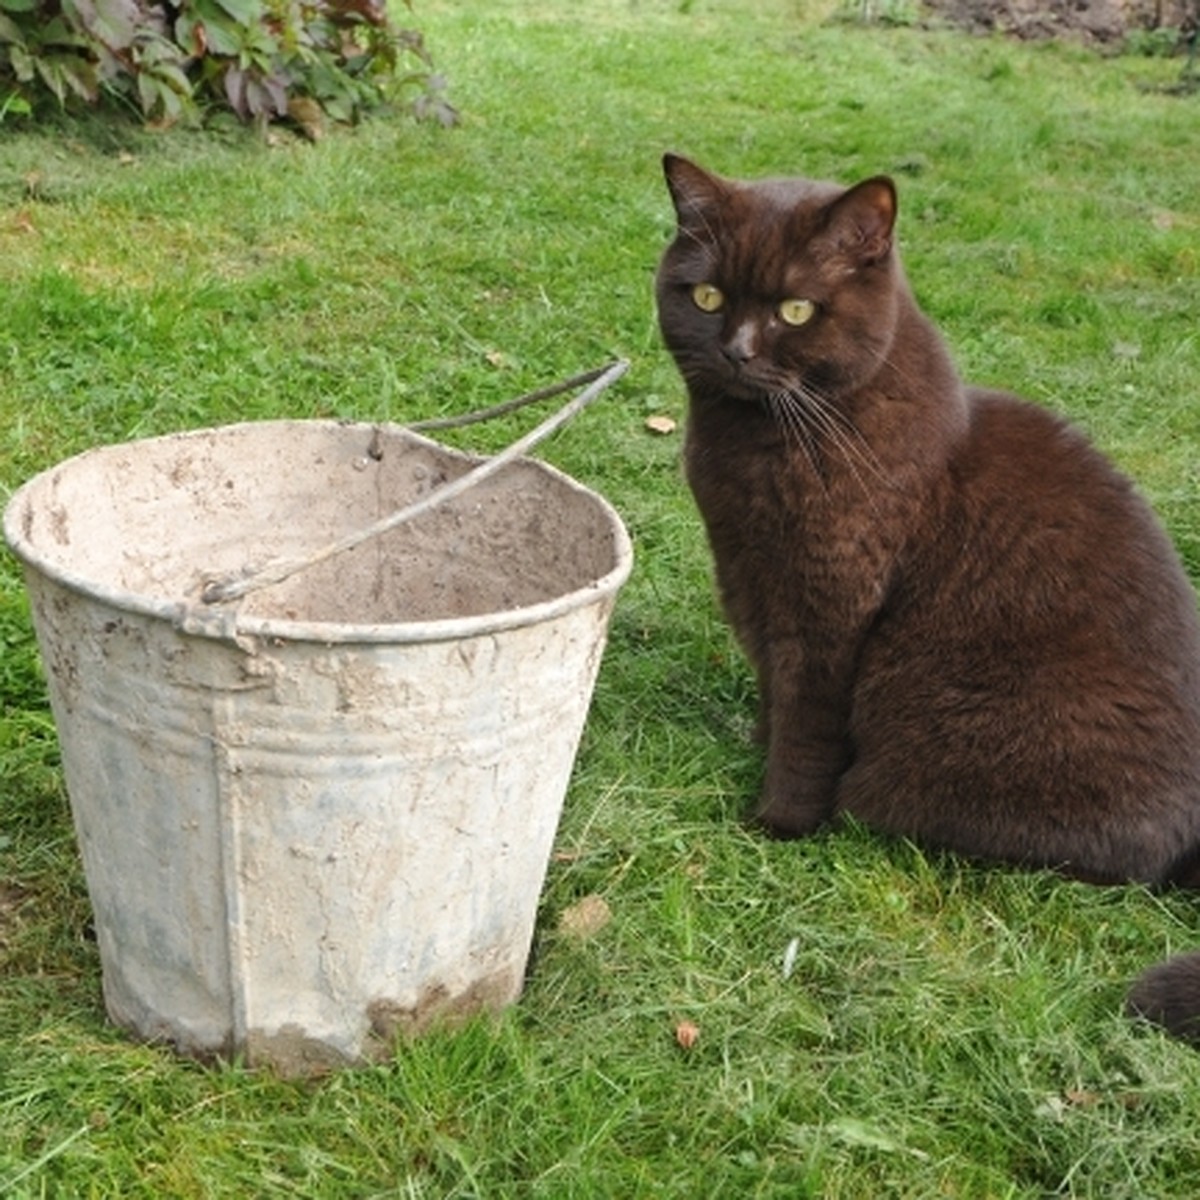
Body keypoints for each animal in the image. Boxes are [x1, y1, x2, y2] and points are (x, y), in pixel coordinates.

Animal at [662, 154, 1200, 1046]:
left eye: (796, 309)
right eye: (706, 297)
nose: (734, 350)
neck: (756, 446)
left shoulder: (828, 608)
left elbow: (807, 720)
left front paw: (779, 820)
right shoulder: (750, 582)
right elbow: (775, 694)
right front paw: (755, 750)